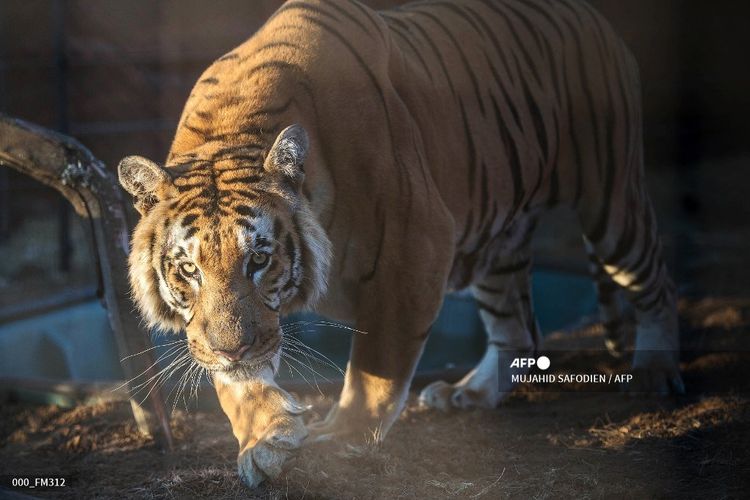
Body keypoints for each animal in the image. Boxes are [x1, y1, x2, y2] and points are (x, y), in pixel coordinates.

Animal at [119, 0, 688, 488]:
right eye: (189, 270)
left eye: (259, 260)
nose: (231, 350)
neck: (232, 127)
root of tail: (589, 14)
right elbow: (235, 383)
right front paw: (266, 438)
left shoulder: (416, 244)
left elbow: (377, 367)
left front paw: (341, 436)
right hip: (499, 244)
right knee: (518, 329)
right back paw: (468, 393)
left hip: (610, 200)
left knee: (655, 279)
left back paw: (654, 372)